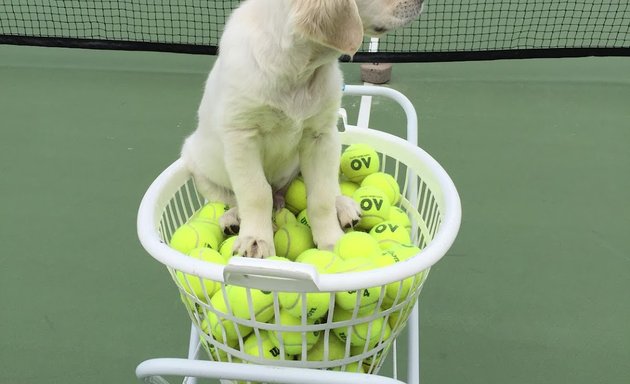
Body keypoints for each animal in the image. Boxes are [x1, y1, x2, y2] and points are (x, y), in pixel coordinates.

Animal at [181, 0, 424, 258]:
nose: (423, 2)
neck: (300, 69)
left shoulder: (321, 136)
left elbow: (321, 196)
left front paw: (331, 241)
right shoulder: (242, 137)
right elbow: (256, 193)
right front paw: (256, 240)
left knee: (330, 187)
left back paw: (343, 206)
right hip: (197, 166)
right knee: (235, 199)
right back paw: (233, 218)